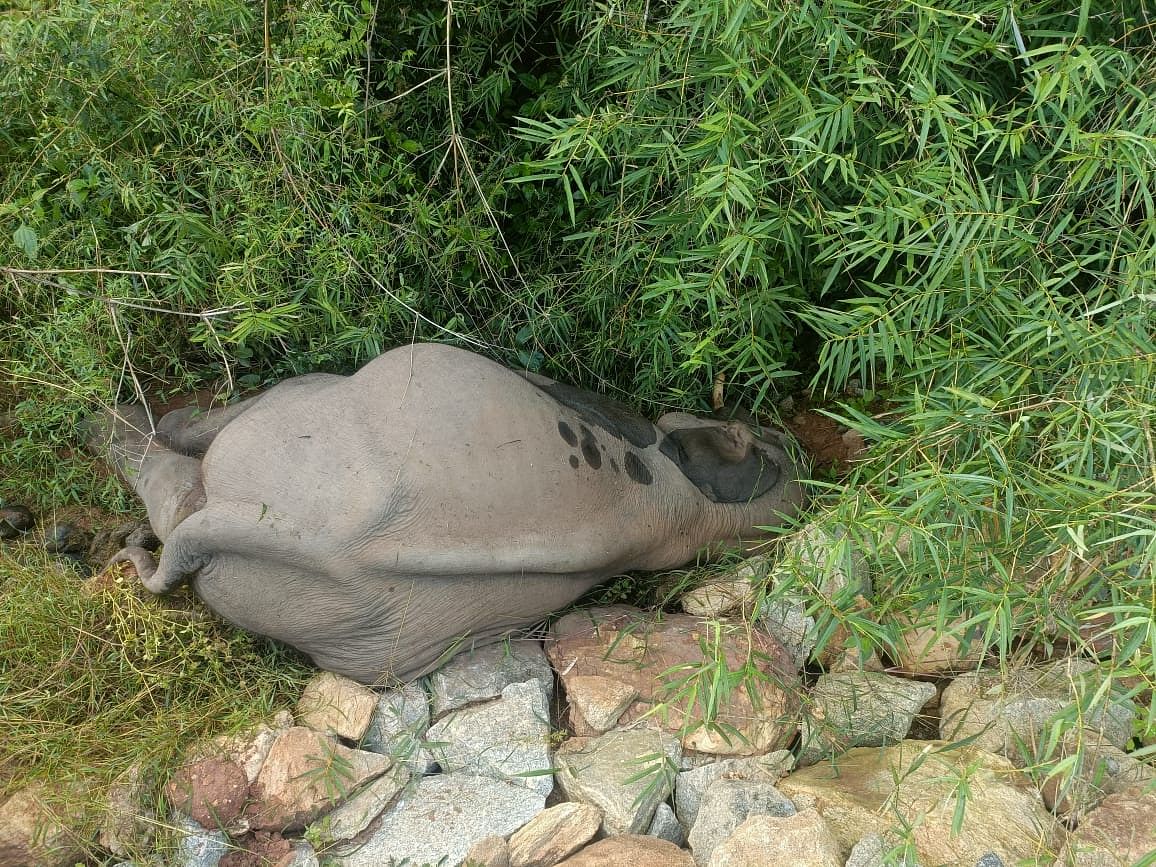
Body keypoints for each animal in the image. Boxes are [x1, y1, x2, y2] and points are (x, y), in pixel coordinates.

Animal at [87, 342, 804, 688]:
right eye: (767, 438)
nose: (787, 436)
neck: (685, 505)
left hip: (290, 430)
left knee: (189, 470)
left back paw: (114, 425)